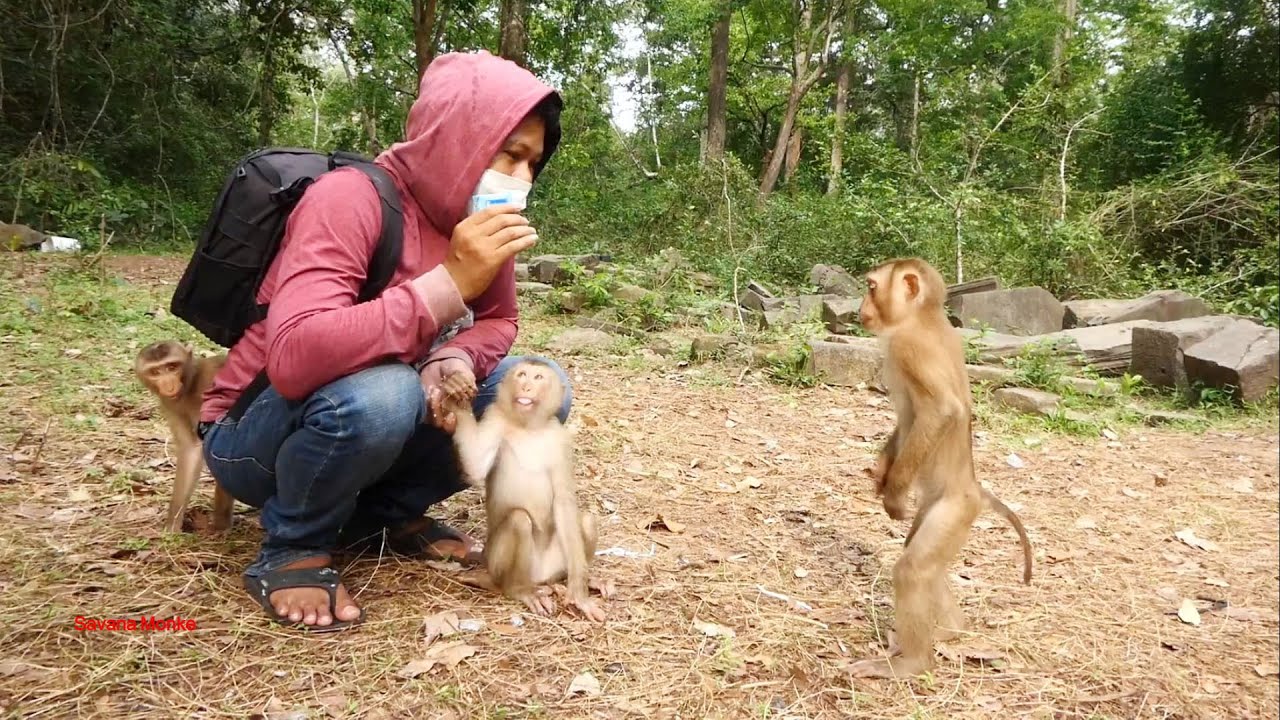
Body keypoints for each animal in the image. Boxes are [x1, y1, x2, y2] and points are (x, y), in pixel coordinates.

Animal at [133, 340, 234, 534]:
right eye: (155, 372)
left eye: (172, 367)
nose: (169, 385)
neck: (192, 384)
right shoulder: (170, 404)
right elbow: (191, 450)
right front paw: (172, 525)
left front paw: (221, 525)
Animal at [438, 359, 607, 622]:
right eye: (522, 374)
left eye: (538, 377)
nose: (526, 386)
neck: (528, 426)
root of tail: (538, 577)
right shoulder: (495, 415)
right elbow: (477, 465)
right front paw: (457, 394)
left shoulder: (560, 439)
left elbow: (563, 502)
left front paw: (579, 592)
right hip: (496, 562)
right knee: (519, 520)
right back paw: (517, 589)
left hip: (554, 563)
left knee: (586, 520)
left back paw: (571, 581)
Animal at [848, 257, 1032, 680]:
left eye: (870, 287)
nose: (859, 308)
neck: (923, 318)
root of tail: (974, 489)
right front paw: (882, 472)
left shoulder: (907, 348)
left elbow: (941, 411)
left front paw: (894, 492)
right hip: (937, 509)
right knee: (925, 562)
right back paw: (951, 631)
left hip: (954, 510)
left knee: (913, 570)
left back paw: (911, 663)